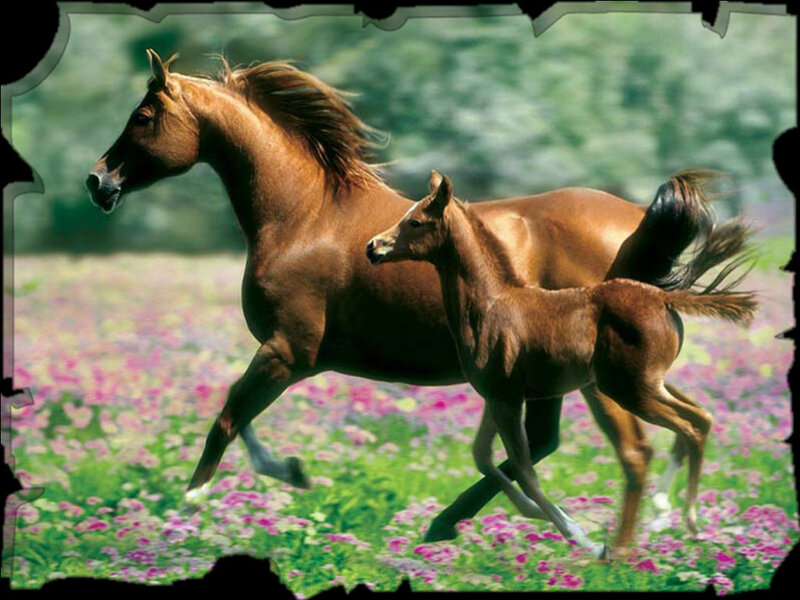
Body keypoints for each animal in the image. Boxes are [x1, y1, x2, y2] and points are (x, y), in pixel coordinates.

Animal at [366, 173, 756, 558]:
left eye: (415, 221)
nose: (373, 247)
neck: (493, 303)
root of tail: (663, 296)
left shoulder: (507, 398)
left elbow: (523, 470)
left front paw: (583, 537)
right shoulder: (496, 396)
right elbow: (484, 457)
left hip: (629, 390)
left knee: (685, 429)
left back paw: (675, 522)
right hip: (645, 383)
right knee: (700, 419)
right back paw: (665, 514)